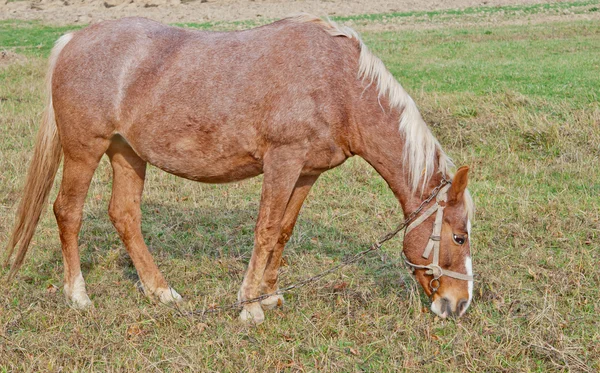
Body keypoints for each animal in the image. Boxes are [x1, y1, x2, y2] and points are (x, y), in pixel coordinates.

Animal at [3, 14, 474, 322]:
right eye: (459, 236)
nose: (459, 303)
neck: (339, 85)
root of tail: (73, 39)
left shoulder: (306, 172)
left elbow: (282, 231)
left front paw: (270, 296)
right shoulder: (283, 161)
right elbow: (265, 229)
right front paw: (249, 307)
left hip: (127, 153)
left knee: (125, 216)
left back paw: (162, 293)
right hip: (84, 150)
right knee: (68, 212)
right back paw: (79, 296)